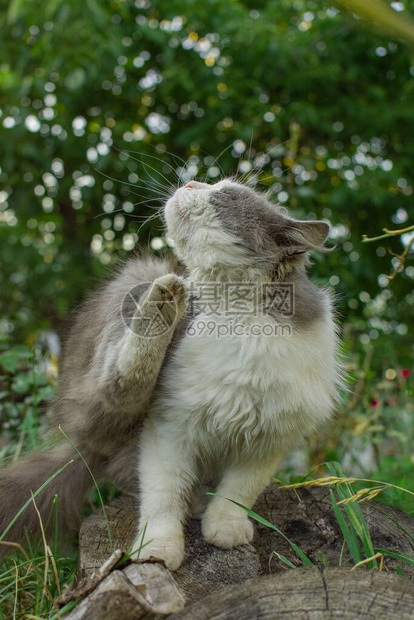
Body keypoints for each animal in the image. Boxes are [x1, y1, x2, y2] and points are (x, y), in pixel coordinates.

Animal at [0, 179, 342, 572]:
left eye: (225, 195)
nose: (191, 182)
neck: (236, 319)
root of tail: (81, 446)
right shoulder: (170, 426)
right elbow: (162, 497)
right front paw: (157, 549)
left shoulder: (269, 439)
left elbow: (238, 491)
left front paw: (224, 527)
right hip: (136, 290)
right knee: (120, 384)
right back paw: (162, 303)